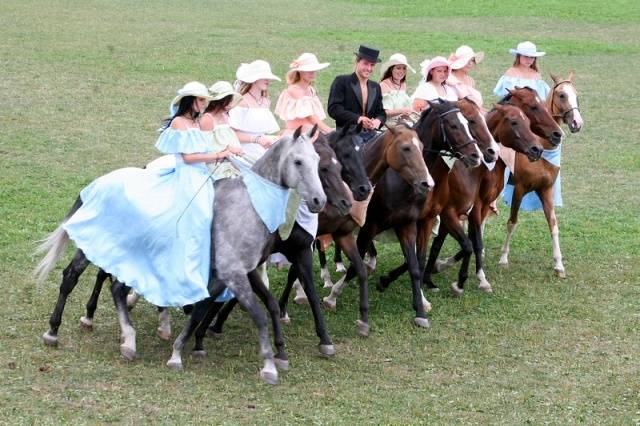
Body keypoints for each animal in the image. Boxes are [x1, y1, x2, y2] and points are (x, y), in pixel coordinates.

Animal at [498, 75, 584, 278]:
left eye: (576, 95)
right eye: (562, 95)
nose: (577, 123)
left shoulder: (546, 190)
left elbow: (553, 224)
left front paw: (559, 265)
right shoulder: (519, 189)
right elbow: (512, 222)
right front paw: (503, 258)